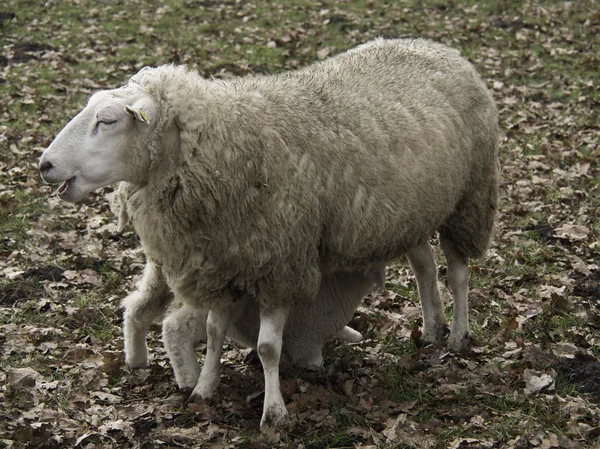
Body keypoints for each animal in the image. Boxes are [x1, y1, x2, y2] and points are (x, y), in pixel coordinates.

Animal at [37, 36, 496, 426]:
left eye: (107, 120)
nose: (44, 165)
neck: (223, 145)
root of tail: (440, 47)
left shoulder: (280, 263)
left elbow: (267, 348)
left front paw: (273, 413)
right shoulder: (223, 263)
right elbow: (213, 332)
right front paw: (205, 389)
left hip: (469, 199)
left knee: (457, 272)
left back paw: (458, 336)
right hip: (410, 213)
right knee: (424, 266)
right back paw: (432, 329)